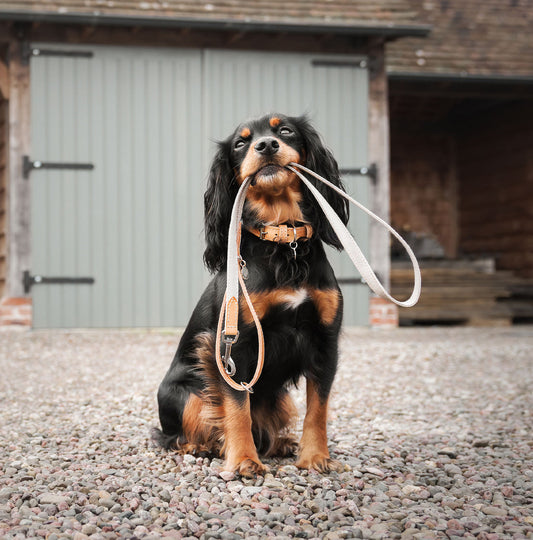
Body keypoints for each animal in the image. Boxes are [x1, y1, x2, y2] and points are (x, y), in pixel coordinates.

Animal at [154, 114, 350, 476]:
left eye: (285, 130)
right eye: (240, 143)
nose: (266, 145)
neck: (283, 240)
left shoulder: (325, 340)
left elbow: (318, 408)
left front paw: (315, 456)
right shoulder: (234, 343)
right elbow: (236, 407)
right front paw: (245, 460)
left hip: (279, 396)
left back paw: (281, 443)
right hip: (185, 394)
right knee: (173, 433)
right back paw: (201, 446)